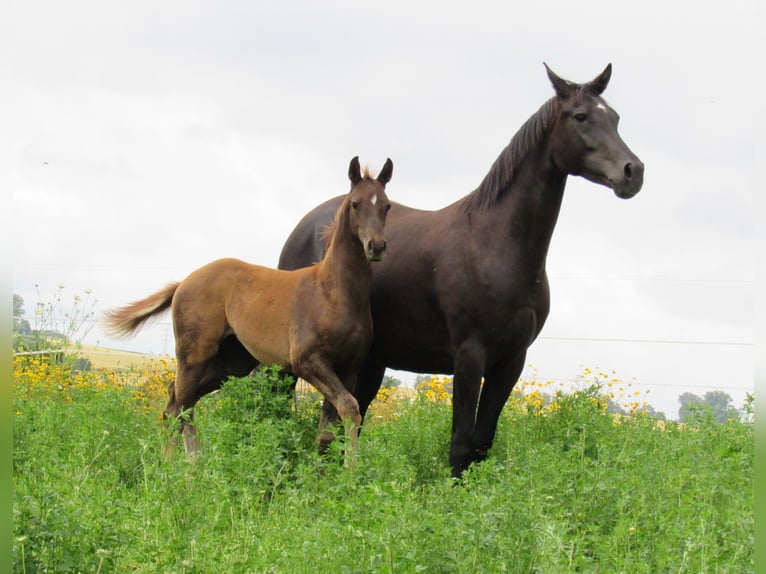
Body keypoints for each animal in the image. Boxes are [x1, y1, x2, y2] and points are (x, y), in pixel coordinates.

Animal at [104, 156, 393, 461]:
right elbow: (349, 408)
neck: (334, 292)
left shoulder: (349, 368)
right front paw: (352, 468)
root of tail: (184, 281)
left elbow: (332, 425)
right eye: (355, 204)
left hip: (231, 361)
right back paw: (171, 466)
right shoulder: (308, 361)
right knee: (176, 408)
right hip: (193, 354)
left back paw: (193, 464)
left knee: (184, 401)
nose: (376, 246)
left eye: (387, 206)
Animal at [278, 64, 644, 478]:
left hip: (368, 361)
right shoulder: (470, 356)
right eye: (580, 116)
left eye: (614, 118)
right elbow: (461, 444)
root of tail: (306, 227)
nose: (633, 172)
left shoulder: (510, 362)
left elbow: (482, 443)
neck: (497, 244)